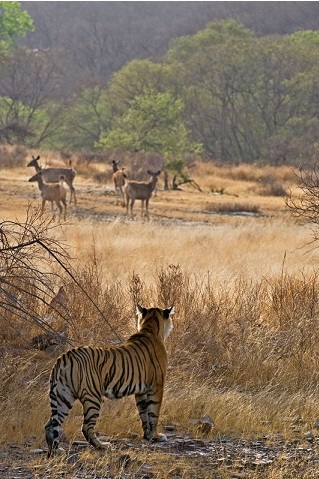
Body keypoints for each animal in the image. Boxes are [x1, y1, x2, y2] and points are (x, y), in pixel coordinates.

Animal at [44, 306, 175, 460]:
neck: (149, 328)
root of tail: (64, 357)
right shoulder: (156, 386)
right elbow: (154, 412)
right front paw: (156, 436)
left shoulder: (141, 391)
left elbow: (144, 413)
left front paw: (148, 435)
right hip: (92, 396)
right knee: (86, 427)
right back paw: (103, 446)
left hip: (63, 397)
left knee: (50, 424)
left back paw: (55, 450)